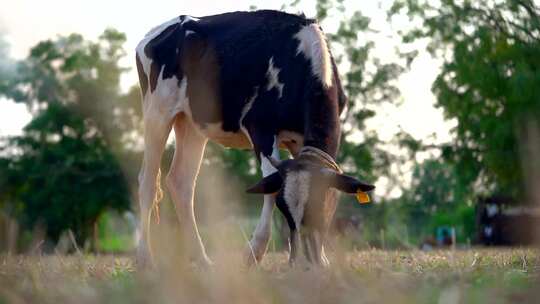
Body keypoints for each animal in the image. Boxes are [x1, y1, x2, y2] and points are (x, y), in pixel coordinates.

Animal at [135, 8, 376, 266]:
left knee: (181, 183)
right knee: (147, 182)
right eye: (283, 208)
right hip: (157, 113)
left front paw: (321, 258)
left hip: (191, 125)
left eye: (319, 209)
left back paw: (202, 260)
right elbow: (269, 185)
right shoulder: (260, 128)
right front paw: (254, 251)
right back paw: (145, 258)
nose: (303, 262)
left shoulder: (301, 141)